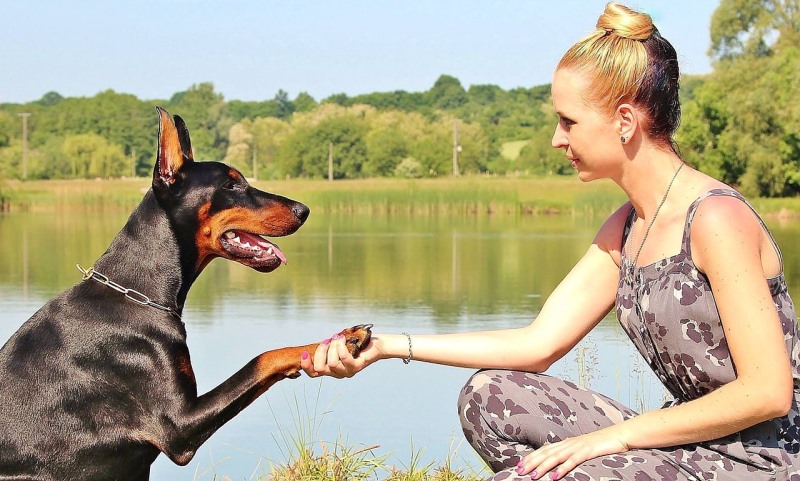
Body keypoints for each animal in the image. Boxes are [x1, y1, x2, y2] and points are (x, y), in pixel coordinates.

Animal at [0, 109, 374, 480]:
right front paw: (342, 339)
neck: (137, 295)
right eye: (231, 184)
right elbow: (263, 357)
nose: (304, 210)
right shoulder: (179, 426)